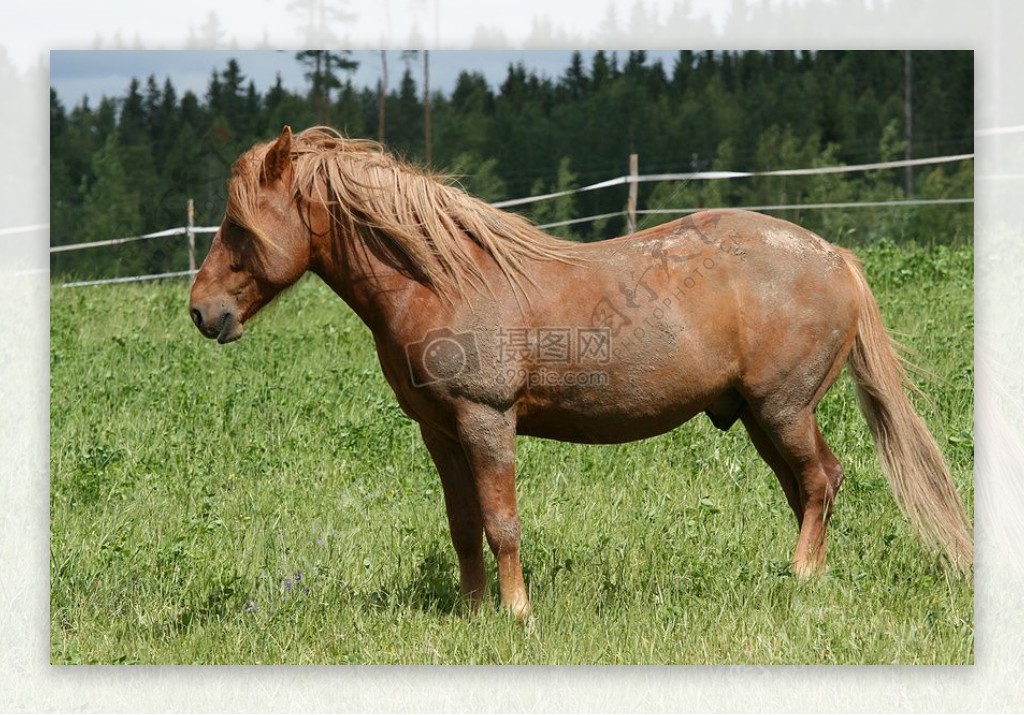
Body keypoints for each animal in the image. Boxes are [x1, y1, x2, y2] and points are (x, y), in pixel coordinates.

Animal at [190, 125, 966, 614]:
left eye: (238, 226)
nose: (202, 312)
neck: (446, 277)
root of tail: (833, 255)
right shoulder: (440, 433)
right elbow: (462, 524)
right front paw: (472, 612)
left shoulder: (486, 421)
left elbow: (502, 522)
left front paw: (516, 613)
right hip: (759, 417)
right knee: (807, 489)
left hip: (783, 410)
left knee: (822, 481)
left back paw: (802, 580)